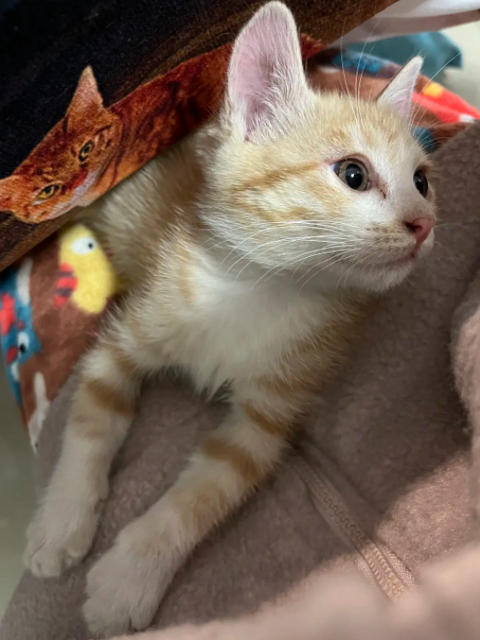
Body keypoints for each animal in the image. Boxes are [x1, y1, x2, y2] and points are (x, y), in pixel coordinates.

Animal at [24, 1, 436, 635]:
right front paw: (62, 522)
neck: (263, 289)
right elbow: (91, 426)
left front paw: (128, 578)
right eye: (353, 174)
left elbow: (206, 492)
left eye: (422, 181)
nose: (424, 224)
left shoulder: (266, 418)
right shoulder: (123, 340)